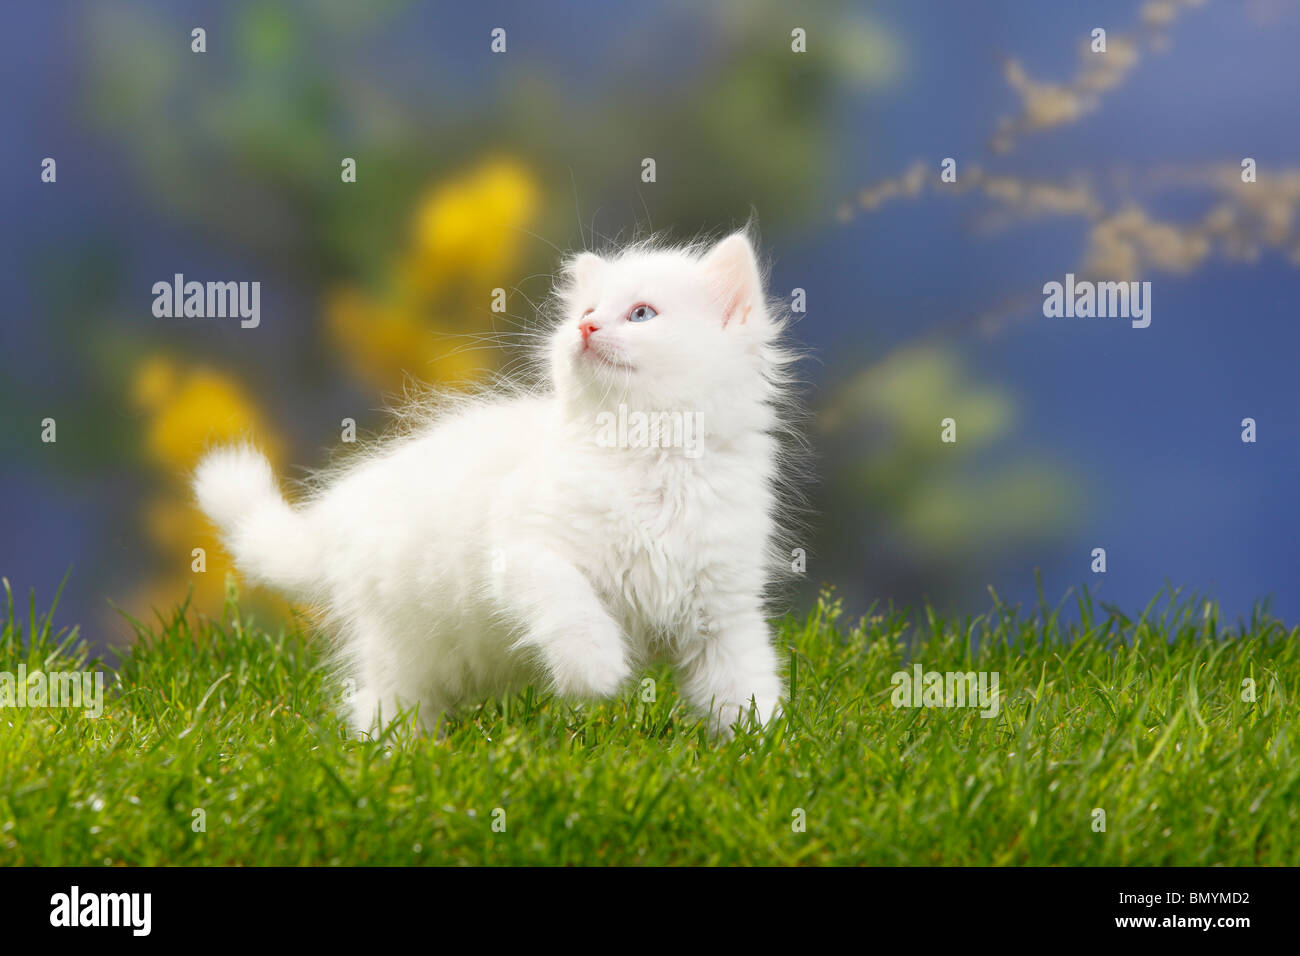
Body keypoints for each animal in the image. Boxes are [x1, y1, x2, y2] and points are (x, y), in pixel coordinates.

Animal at [192, 231, 800, 738]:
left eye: (641, 314)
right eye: (587, 311)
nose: (585, 328)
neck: (650, 457)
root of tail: (339, 516)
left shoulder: (724, 613)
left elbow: (745, 686)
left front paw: (766, 748)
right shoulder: (527, 554)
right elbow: (575, 608)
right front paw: (598, 673)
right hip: (403, 647)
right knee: (376, 705)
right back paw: (388, 762)